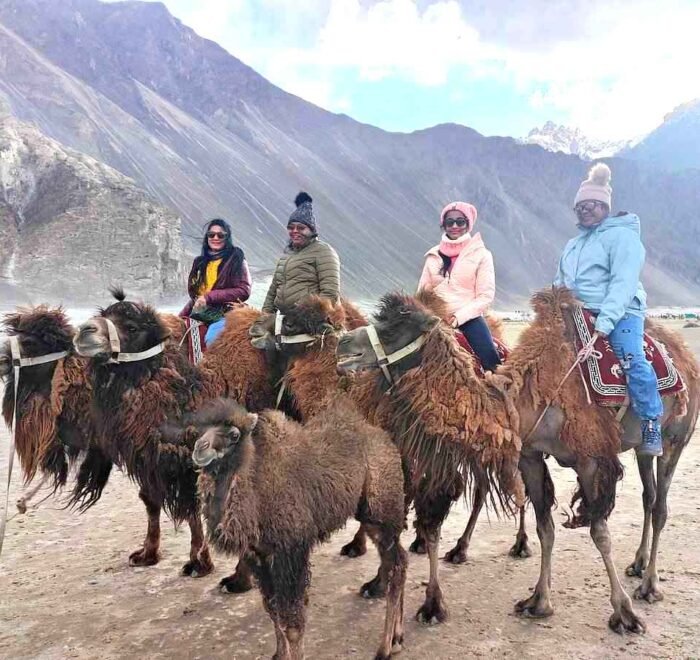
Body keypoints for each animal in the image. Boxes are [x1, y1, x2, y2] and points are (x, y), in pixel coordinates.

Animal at [187, 395, 407, 660]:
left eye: (233, 435)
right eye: (200, 431)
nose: (199, 449)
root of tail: (389, 443)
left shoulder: (291, 551)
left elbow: (292, 622)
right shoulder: (259, 555)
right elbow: (272, 609)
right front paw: (279, 654)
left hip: (382, 512)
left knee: (395, 567)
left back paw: (385, 648)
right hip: (373, 519)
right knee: (400, 561)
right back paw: (397, 638)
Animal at [336, 287, 699, 632]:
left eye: (396, 327)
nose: (343, 344)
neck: (522, 398)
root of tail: (684, 353)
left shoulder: (590, 458)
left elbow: (600, 534)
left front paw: (624, 613)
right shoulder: (530, 456)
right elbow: (545, 527)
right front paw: (539, 601)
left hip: (675, 438)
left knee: (661, 506)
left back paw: (649, 585)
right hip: (642, 449)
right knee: (649, 497)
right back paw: (637, 565)